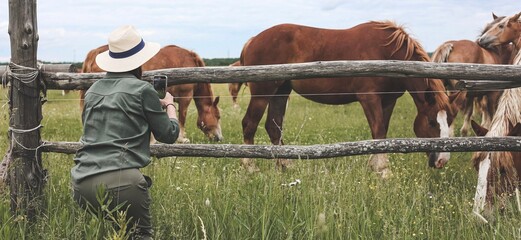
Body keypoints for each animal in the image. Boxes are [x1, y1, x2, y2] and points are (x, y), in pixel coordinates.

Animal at [80, 44, 222, 142]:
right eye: (218, 116)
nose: (219, 138)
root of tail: (94, 53)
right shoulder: (185, 97)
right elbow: (182, 118)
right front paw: (181, 139)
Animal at [239, 21, 460, 175]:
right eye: (431, 122)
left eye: (450, 121)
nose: (442, 161)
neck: (387, 52)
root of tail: (253, 40)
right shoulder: (369, 98)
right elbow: (378, 131)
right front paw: (383, 170)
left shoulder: (388, 100)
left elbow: (381, 133)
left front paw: (374, 166)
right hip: (262, 94)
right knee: (249, 124)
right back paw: (251, 168)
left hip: (280, 92)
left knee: (273, 126)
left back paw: (286, 165)